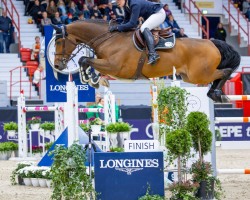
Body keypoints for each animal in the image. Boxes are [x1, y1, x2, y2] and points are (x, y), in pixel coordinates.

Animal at [50, 19, 240, 103]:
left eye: (59, 42)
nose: (58, 65)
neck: (108, 39)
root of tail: (212, 42)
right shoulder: (107, 64)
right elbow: (87, 61)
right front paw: (94, 79)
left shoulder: (114, 66)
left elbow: (84, 59)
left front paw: (92, 79)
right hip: (191, 76)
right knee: (220, 74)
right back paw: (216, 93)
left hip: (199, 75)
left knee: (225, 72)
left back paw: (216, 93)